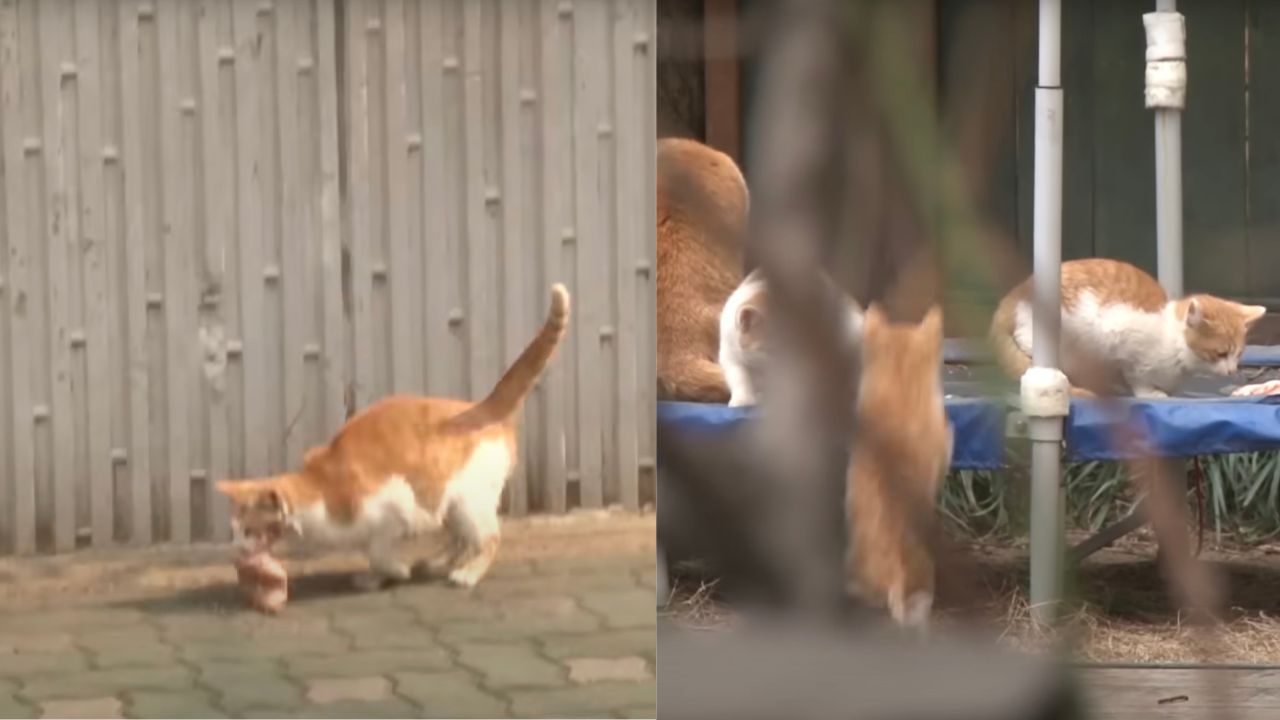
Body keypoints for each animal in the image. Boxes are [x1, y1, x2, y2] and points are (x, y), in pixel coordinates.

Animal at [218, 283, 570, 586]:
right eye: (232, 530)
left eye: (249, 530)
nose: (234, 550)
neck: (321, 491)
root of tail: (480, 407)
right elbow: (371, 551)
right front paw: (375, 578)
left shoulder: (397, 507)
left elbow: (379, 550)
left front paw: (394, 571)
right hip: (450, 504)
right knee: (460, 538)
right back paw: (437, 563)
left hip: (467, 502)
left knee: (489, 537)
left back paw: (466, 574)